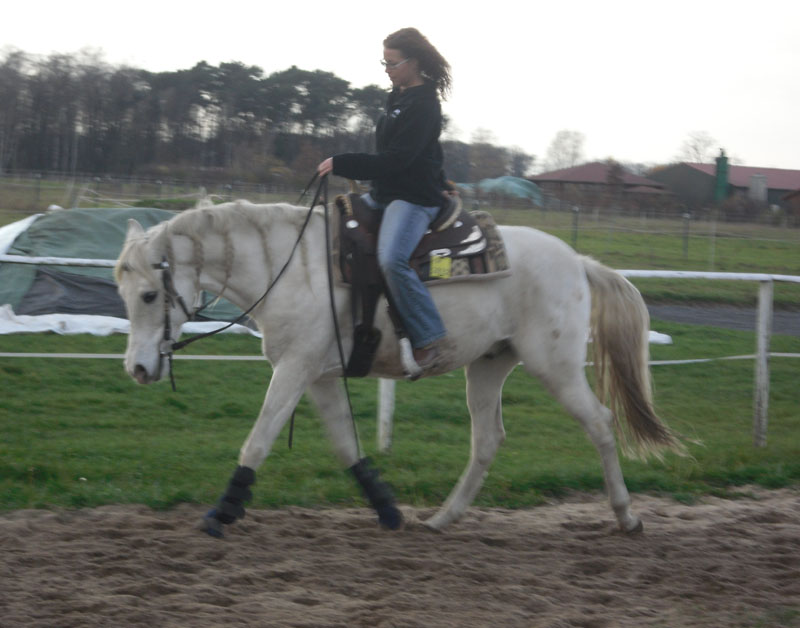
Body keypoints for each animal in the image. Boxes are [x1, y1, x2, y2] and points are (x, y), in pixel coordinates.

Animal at [114, 197, 684, 538]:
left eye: (149, 294)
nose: (138, 369)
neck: (294, 269)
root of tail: (578, 262)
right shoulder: (319, 375)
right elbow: (347, 446)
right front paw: (387, 509)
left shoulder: (295, 370)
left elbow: (258, 440)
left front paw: (221, 512)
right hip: (488, 366)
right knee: (488, 440)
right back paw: (443, 518)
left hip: (556, 366)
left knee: (600, 423)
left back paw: (626, 516)